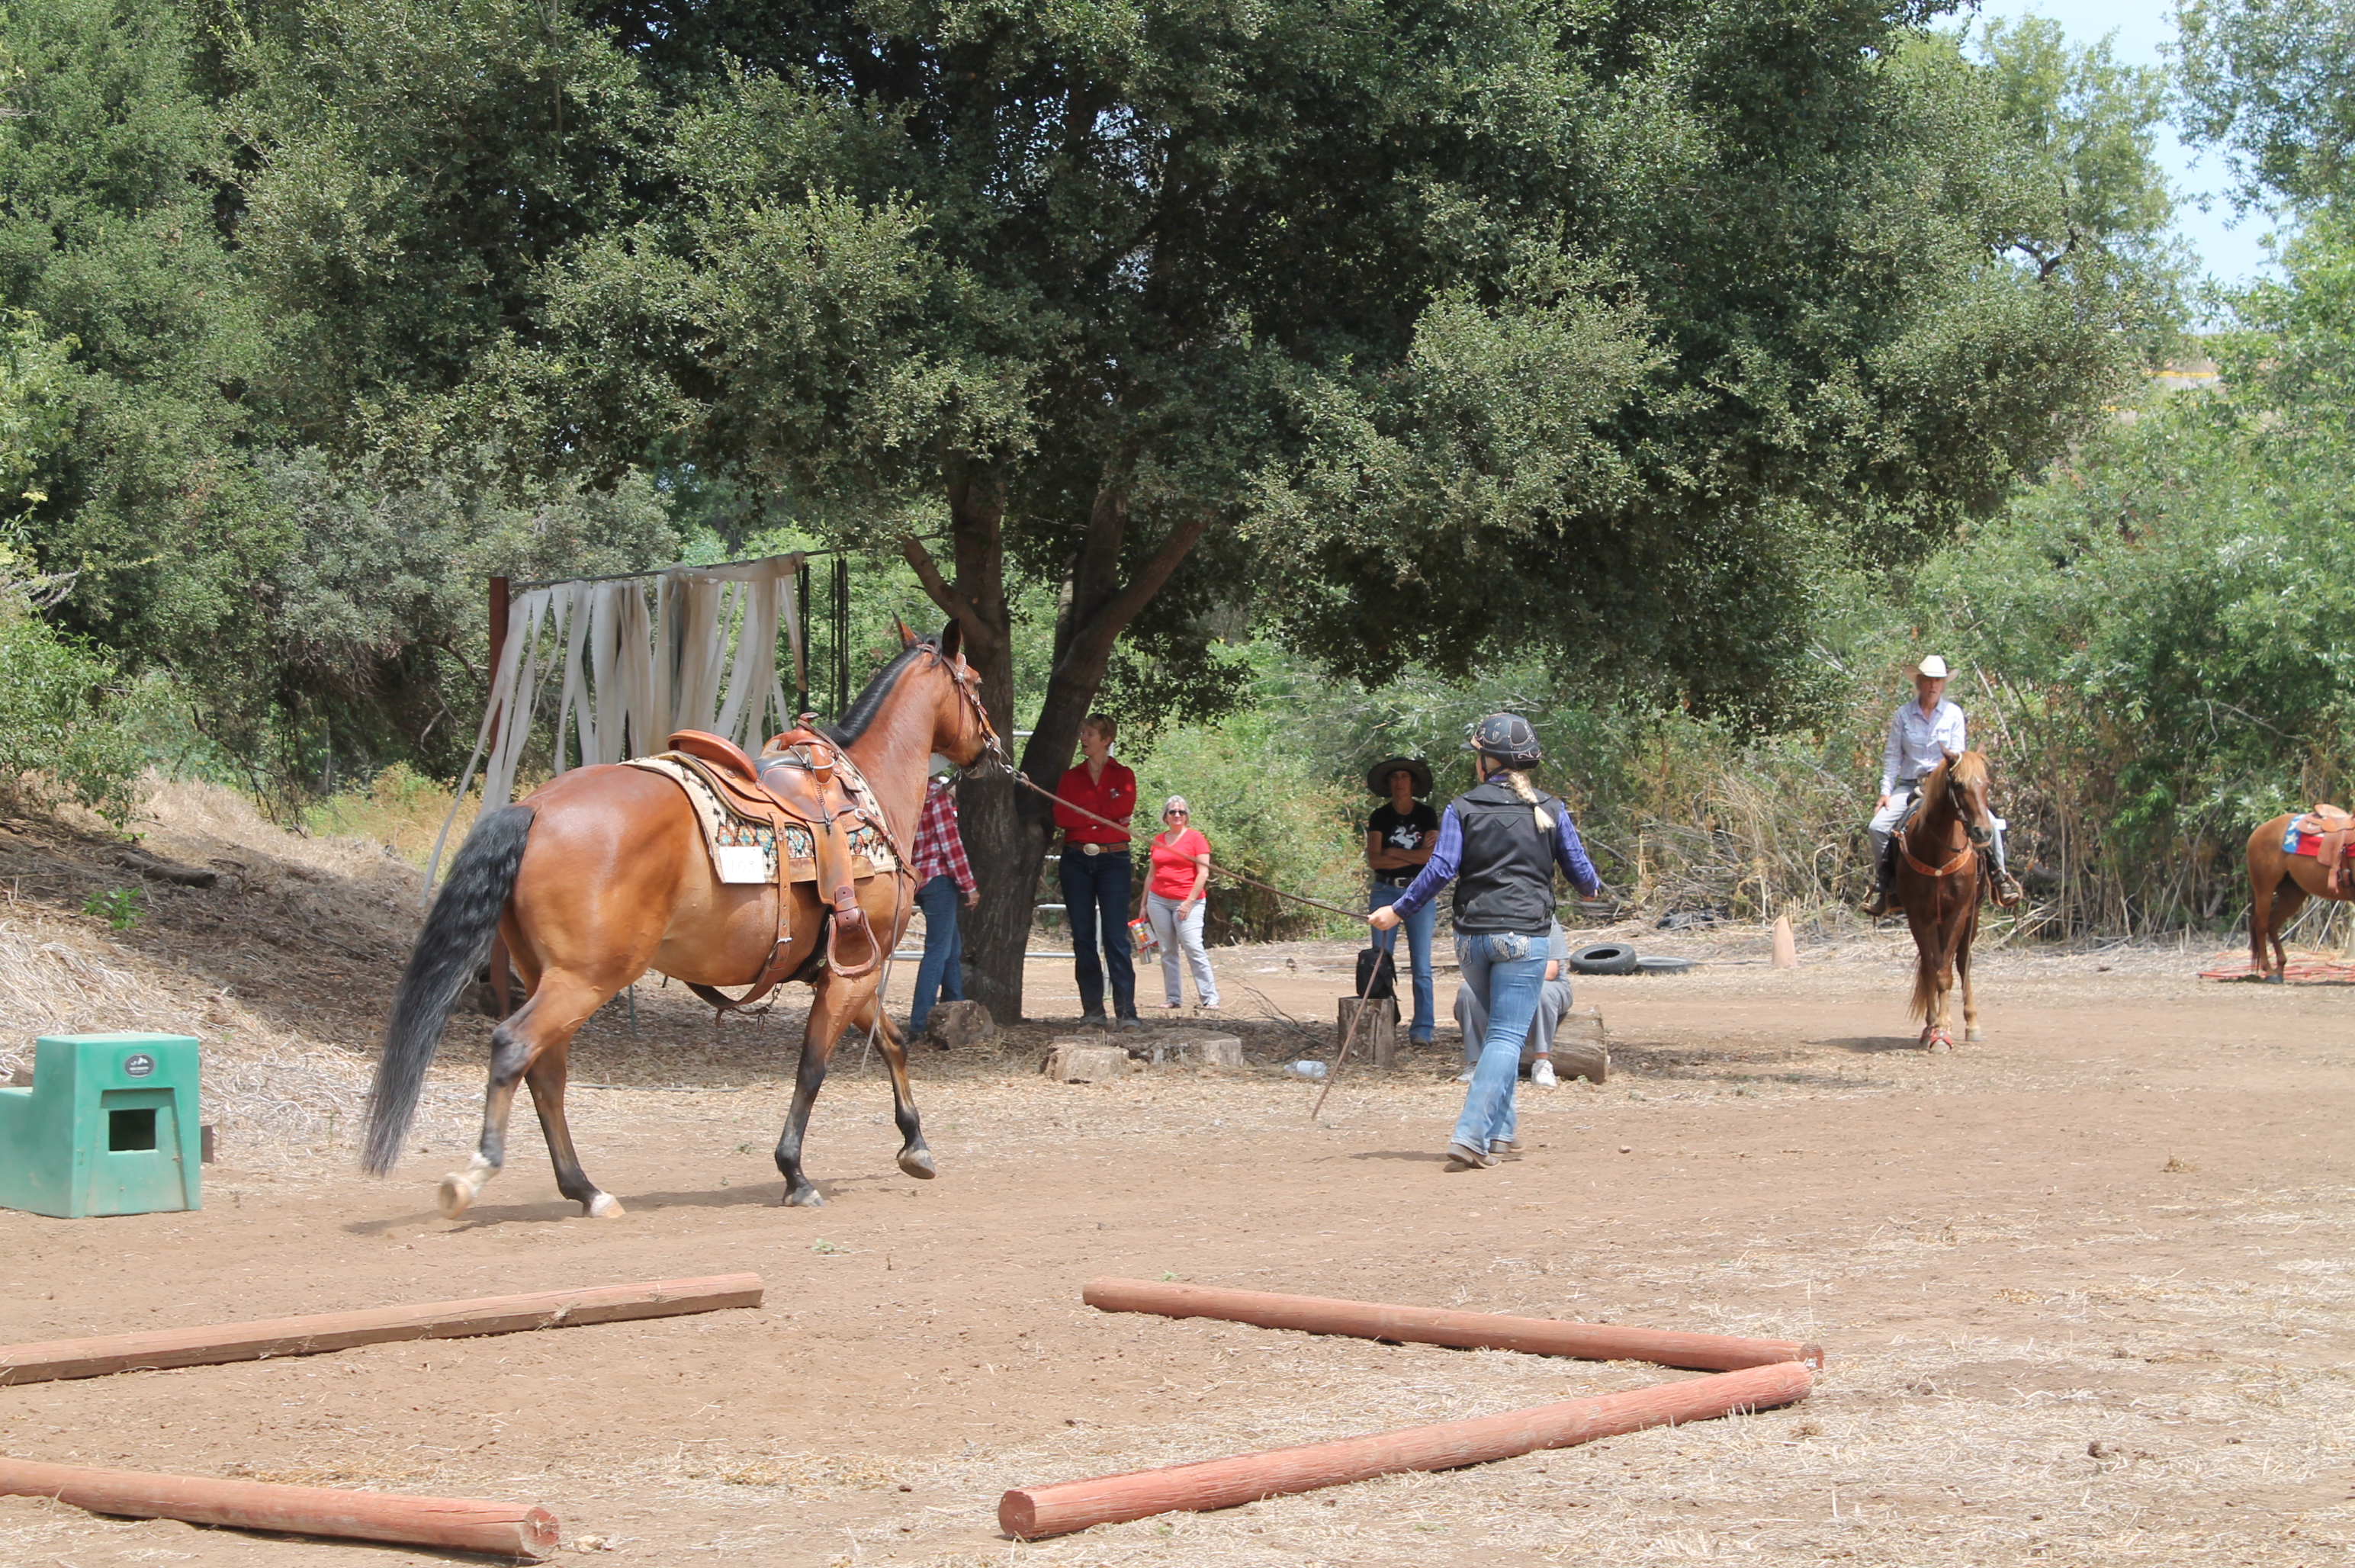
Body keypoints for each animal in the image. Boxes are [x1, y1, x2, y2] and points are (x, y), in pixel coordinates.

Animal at [358, 621, 1003, 1205]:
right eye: (974, 681)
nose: (993, 747)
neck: (864, 792)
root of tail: (534, 808)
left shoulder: (849, 971)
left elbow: (891, 1043)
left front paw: (915, 1145)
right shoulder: (854, 973)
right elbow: (813, 1067)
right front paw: (794, 1173)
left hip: (552, 976)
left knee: (547, 1070)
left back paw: (584, 1188)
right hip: (586, 978)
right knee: (516, 1048)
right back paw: (478, 1172)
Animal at [1893, 748, 1987, 1045]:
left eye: (1986, 784)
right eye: (1958, 784)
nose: (1983, 832)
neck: (1938, 854)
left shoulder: (1958, 913)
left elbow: (1946, 972)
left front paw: (1944, 1027)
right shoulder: (1917, 916)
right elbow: (1931, 971)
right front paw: (1933, 1027)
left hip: (1972, 917)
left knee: (1963, 962)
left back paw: (1973, 1024)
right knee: (1931, 966)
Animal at [2232, 805, 2345, 979]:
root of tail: (2259, 830)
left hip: (2292, 895)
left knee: (2272, 923)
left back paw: (2280, 966)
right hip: (2264, 889)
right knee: (2261, 924)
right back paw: (2270, 970)